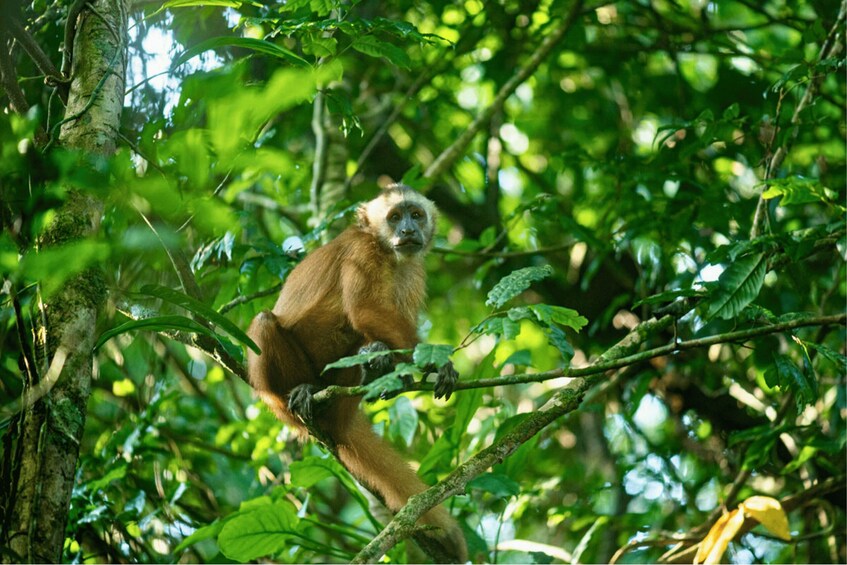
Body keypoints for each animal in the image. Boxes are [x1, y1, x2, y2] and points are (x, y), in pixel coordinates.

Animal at [247, 184, 468, 563]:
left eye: (416, 215)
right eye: (394, 217)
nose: (408, 230)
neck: (387, 252)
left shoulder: (413, 270)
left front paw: (392, 365)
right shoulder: (362, 253)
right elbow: (366, 310)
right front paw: (436, 363)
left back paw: (369, 369)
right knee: (264, 323)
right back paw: (301, 392)